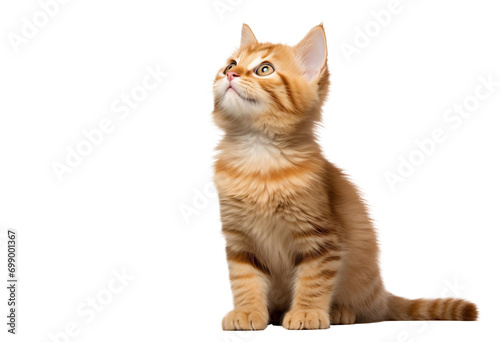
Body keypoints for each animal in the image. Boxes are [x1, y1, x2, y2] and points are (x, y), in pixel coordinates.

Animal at [211, 23, 476, 328]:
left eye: (264, 69)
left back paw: (339, 311)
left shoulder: (321, 237)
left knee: (363, 309)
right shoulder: (239, 240)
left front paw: (307, 312)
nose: (231, 74)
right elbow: (244, 280)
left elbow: (313, 280)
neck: (258, 156)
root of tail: (381, 294)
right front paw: (247, 312)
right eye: (231, 64)